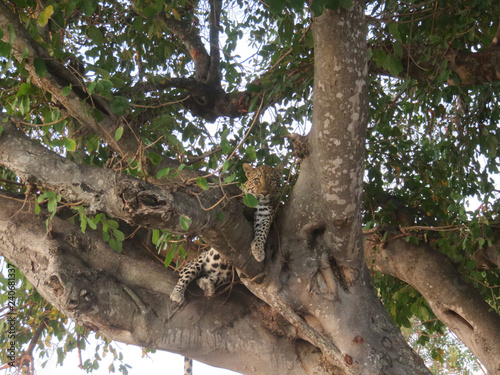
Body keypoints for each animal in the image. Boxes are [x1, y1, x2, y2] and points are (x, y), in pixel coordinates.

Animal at [170, 162, 284, 306]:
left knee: (205, 279)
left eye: (272, 181)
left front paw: (258, 252)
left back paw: (207, 285)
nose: (264, 193)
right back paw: (177, 293)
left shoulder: (265, 215)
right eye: (257, 180)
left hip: (225, 274)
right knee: (185, 276)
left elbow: (262, 233)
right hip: (198, 261)